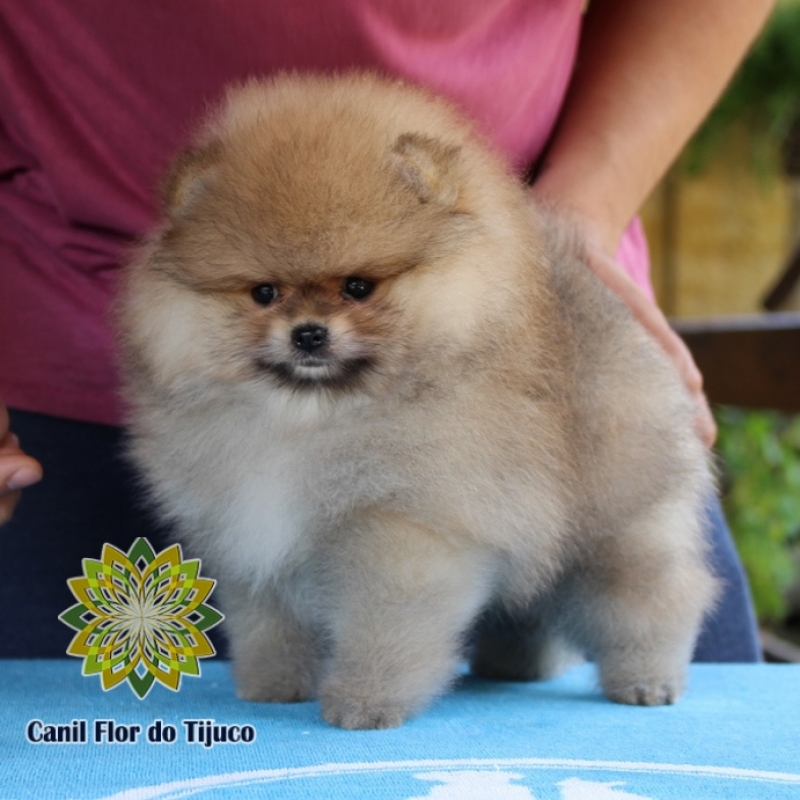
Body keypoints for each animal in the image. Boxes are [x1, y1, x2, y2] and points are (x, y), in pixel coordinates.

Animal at [117, 73, 720, 732]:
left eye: (358, 286)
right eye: (264, 293)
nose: (308, 333)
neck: (308, 420)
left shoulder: (405, 529)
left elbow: (384, 628)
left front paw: (366, 702)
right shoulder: (252, 537)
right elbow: (269, 625)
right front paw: (274, 685)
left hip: (618, 525)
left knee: (656, 593)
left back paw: (647, 678)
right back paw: (514, 666)